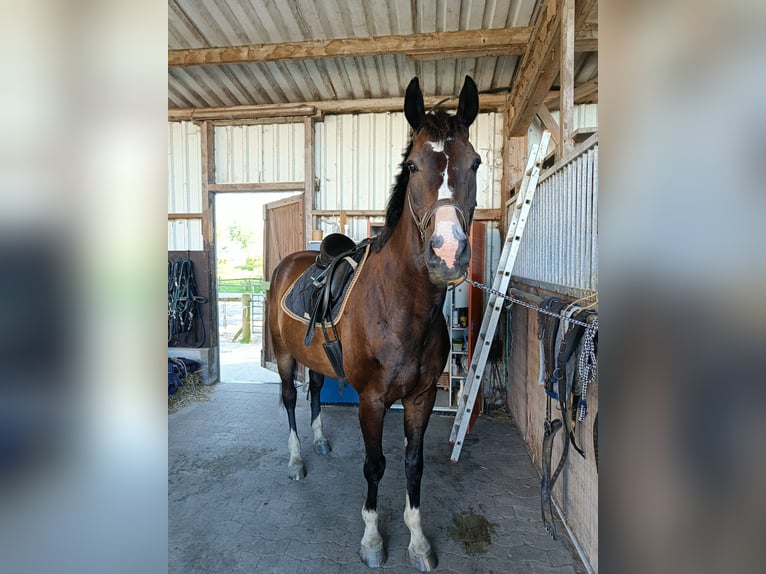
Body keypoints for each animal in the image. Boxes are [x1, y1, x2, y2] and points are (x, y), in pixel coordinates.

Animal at [268, 75, 480, 572]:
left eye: (476, 163)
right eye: (413, 165)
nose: (447, 254)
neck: (401, 309)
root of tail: (290, 262)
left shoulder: (421, 399)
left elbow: (413, 464)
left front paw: (418, 542)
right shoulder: (372, 401)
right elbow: (375, 464)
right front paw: (372, 539)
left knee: (317, 391)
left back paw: (321, 442)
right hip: (284, 356)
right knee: (290, 399)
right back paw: (296, 461)